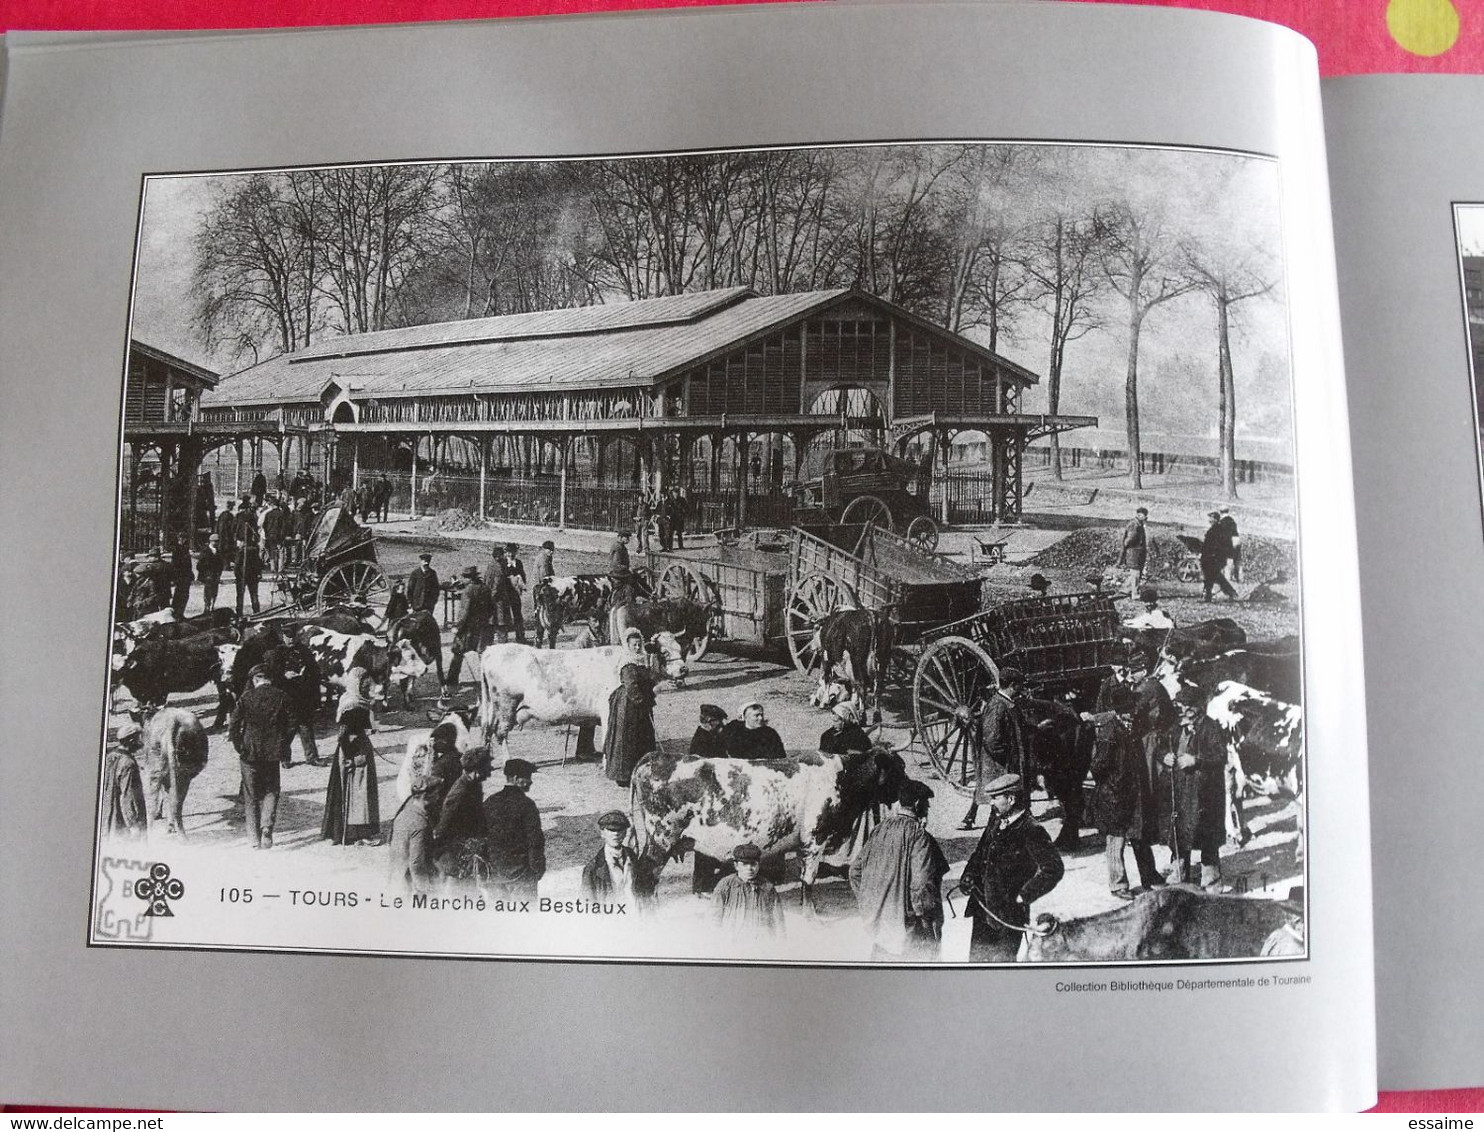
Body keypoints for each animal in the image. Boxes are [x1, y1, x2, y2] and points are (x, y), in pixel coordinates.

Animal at [477, 637, 685, 759]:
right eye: (664, 652)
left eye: (681, 649)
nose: (684, 669)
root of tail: (490, 650)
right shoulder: (607, 708)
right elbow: (607, 737)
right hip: (506, 705)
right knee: (500, 733)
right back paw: (507, 761)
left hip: (494, 707)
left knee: (487, 729)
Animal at [623, 744, 902, 913]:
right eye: (899, 768)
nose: (910, 790)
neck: (842, 777)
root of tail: (653, 756)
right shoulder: (815, 839)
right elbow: (808, 880)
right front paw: (811, 914)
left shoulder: (804, 844)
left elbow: (805, 879)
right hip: (661, 837)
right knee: (644, 878)